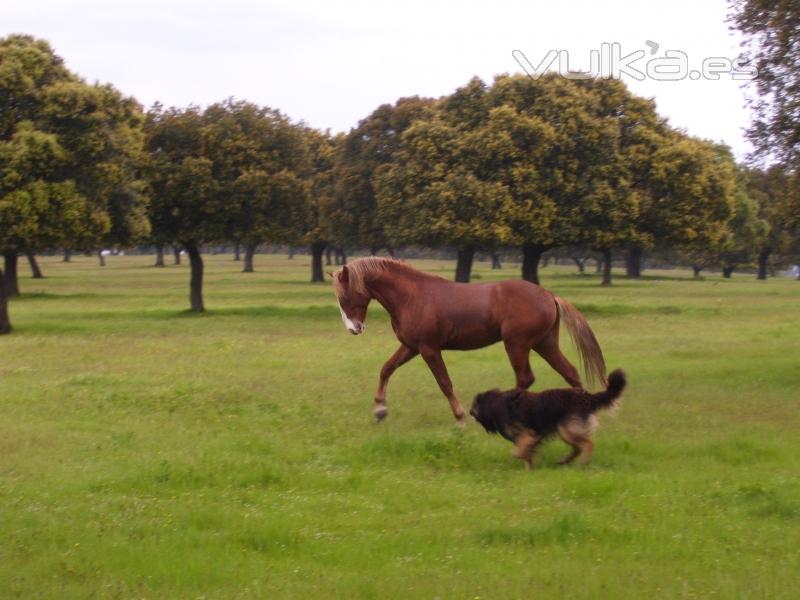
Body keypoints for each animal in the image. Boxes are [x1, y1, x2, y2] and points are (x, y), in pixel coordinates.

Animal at [328, 255, 604, 424]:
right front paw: (380, 410)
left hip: (517, 345)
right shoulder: (410, 347)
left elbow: (445, 383)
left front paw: (460, 417)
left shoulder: (429, 349)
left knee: (526, 378)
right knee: (570, 373)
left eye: (346, 296)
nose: (354, 329)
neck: (412, 296)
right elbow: (386, 369)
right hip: (544, 343)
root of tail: (549, 296)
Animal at [468, 370, 624, 468]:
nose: (469, 412)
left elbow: (518, 453)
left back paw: (582, 463)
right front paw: (529, 471)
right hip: (566, 432)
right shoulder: (531, 438)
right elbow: (527, 456)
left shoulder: (528, 434)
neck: (494, 403)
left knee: (588, 444)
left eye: (473, 407)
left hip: (566, 429)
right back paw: (564, 462)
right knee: (578, 448)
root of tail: (588, 397)